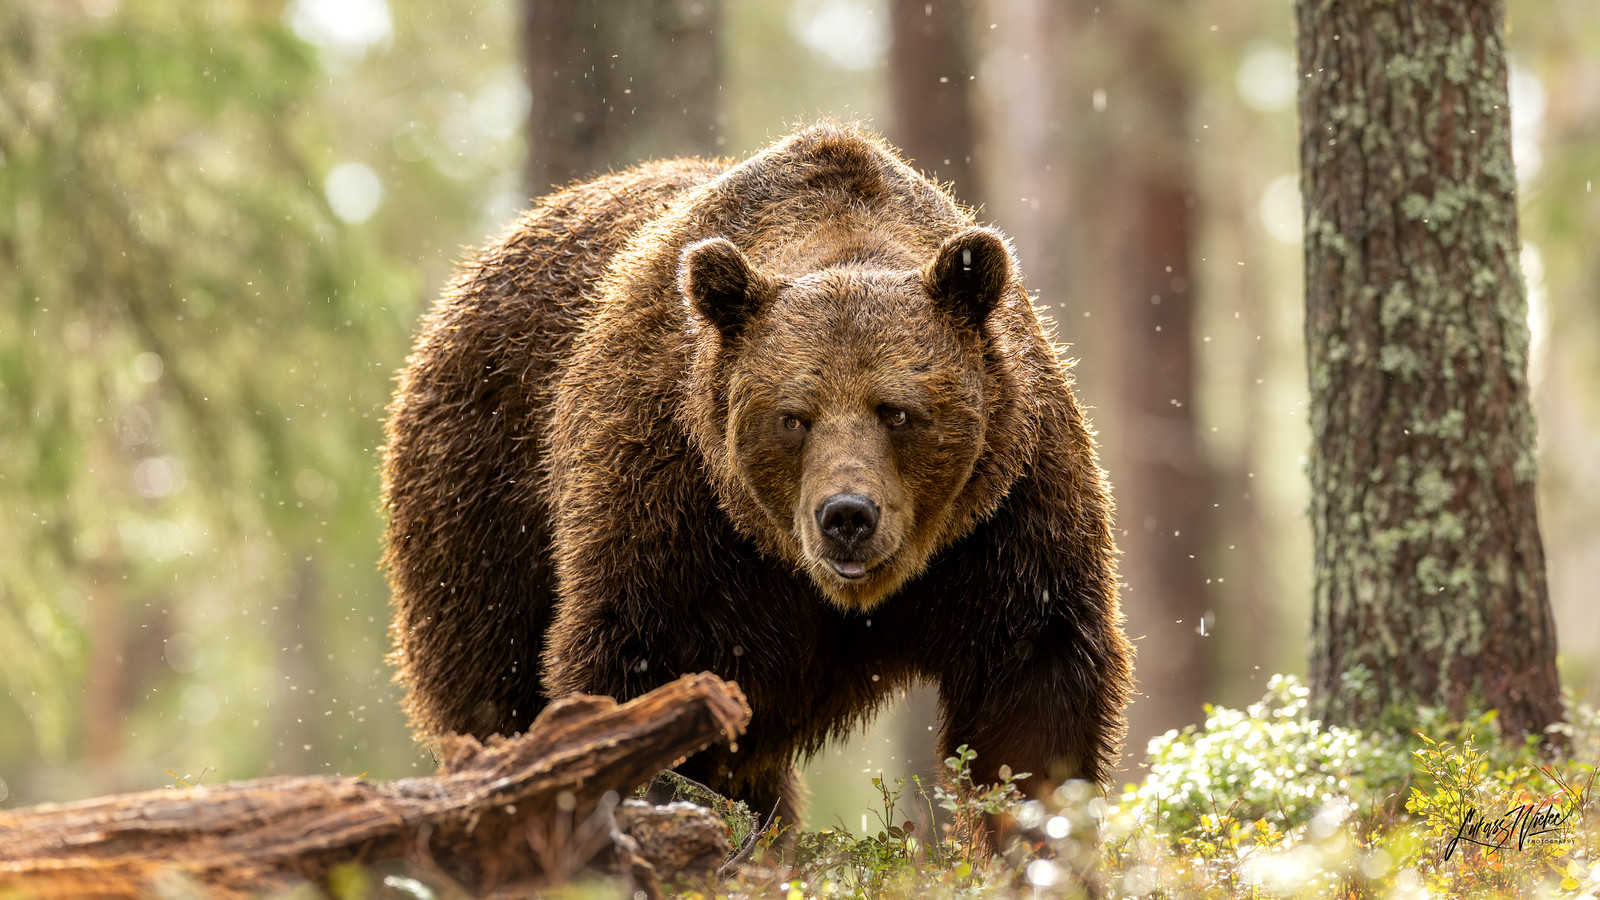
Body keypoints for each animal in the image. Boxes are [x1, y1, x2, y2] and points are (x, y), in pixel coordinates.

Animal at [382, 123, 1133, 847]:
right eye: (793, 417)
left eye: (897, 411)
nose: (847, 515)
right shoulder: (673, 496)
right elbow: (636, 668)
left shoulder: (1005, 513)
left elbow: (1034, 686)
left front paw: (1037, 838)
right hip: (485, 488)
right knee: (490, 675)